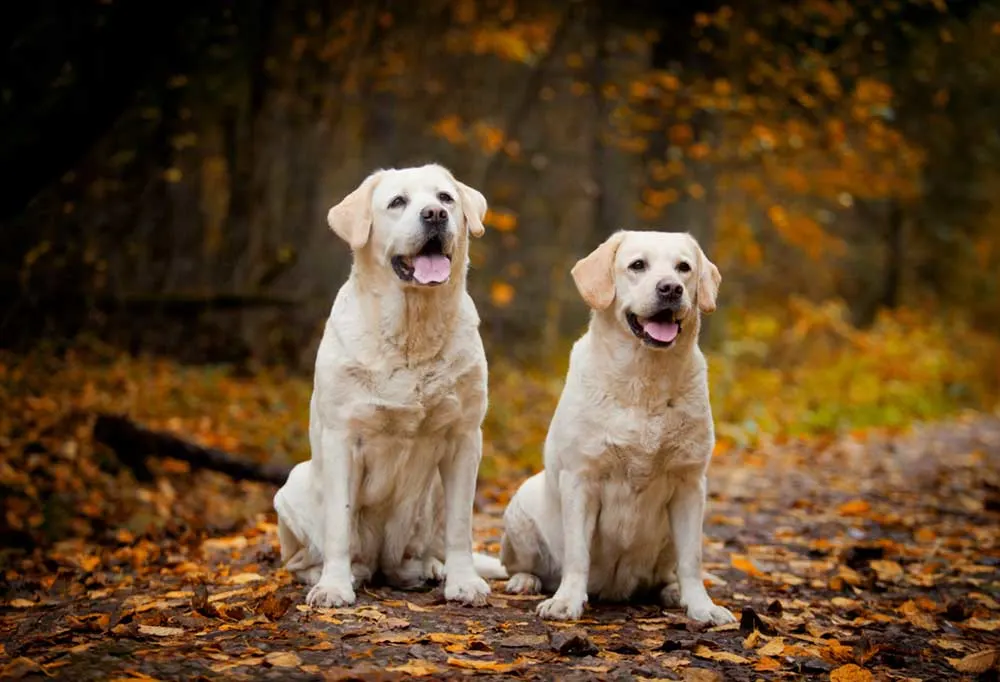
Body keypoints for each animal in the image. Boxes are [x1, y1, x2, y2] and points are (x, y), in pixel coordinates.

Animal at [274, 165, 504, 604]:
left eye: (446, 198)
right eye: (398, 202)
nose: (435, 215)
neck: (413, 326)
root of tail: (383, 561)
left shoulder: (466, 437)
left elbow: (461, 526)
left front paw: (464, 582)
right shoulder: (341, 438)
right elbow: (339, 524)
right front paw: (333, 586)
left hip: (432, 497)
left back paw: (429, 569)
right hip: (292, 485)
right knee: (303, 558)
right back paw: (332, 574)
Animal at [500, 231, 736, 624]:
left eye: (684, 268)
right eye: (637, 265)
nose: (671, 289)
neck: (645, 380)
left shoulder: (690, 483)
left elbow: (692, 559)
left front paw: (703, 607)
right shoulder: (581, 479)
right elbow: (577, 555)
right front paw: (566, 602)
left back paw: (673, 592)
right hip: (520, 513)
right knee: (525, 566)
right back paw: (525, 581)